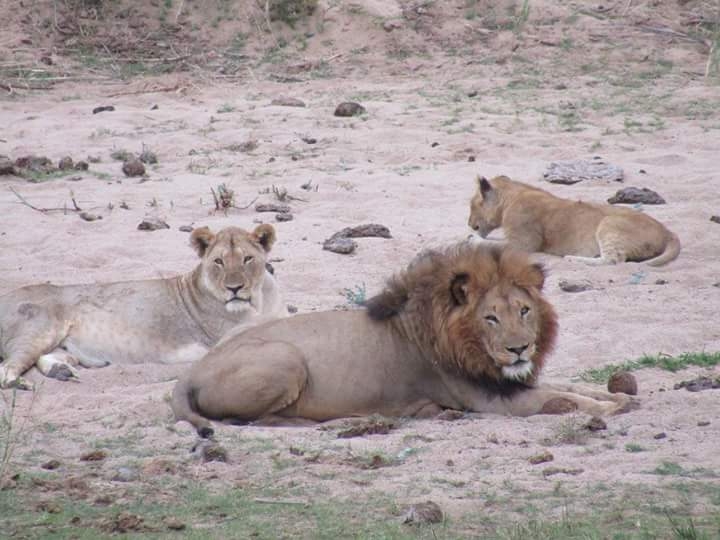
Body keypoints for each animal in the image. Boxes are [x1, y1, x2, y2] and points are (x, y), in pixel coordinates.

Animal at [0, 224, 287, 390]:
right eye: (219, 262)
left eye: (247, 259)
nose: (234, 288)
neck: (259, 300)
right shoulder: (226, 341)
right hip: (40, 328)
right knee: (7, 368)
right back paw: (19, 383)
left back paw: (62, 371)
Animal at [172, 242, 634, 438]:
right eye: (490, 318)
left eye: (523, 311)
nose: (519, 349)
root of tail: (190, 373)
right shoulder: (491, 399)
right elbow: (562, 399)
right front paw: (613, 407)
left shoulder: (508, 381)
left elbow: (569, 385)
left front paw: (617, 395)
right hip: (286, 358)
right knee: (258, 421)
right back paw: (343, 423)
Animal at [468, 175, 680, 266]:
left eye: (473, 204)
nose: (469, 224)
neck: (511, 197)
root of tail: (668, 231)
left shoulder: (523, 244)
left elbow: (491, 244)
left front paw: (471, 238)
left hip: (609, 224)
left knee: (613, 260)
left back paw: (573, 258)